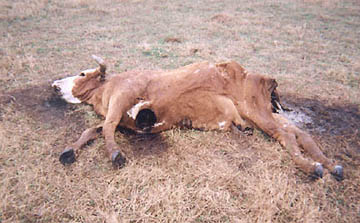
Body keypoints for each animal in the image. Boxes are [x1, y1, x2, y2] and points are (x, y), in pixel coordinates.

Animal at [51, 55, 344, 181]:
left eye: (81, 73)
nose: (54, 84)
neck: (102, 93)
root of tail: (257, 75)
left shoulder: (122, 98)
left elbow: (106, 129)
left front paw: (115, 154)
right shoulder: (123, 118)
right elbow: (92, 130)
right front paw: (69, 151)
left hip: (258, 113)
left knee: (286, 136)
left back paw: (312, 168)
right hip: (262, 114)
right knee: (300, 133)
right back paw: (332, 166)